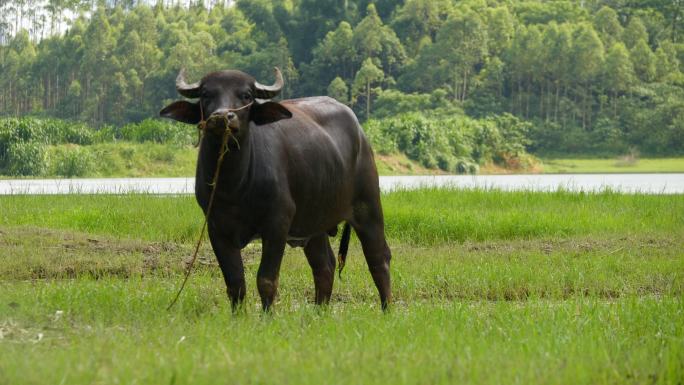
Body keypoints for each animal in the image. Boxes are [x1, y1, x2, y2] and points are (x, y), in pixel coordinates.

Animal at [160, 67, 392, 310]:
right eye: (206, 94)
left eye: (246, 95)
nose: (223, 117)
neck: (235, 185)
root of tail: (361, 135)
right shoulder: (216, 227)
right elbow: (235, 283)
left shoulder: (277, 223)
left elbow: (266, 279)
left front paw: (267, 314)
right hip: (313, 223)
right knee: (324, 266)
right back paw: (319, 312)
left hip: (369, 207)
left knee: (379, 258)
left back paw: (386, 309)